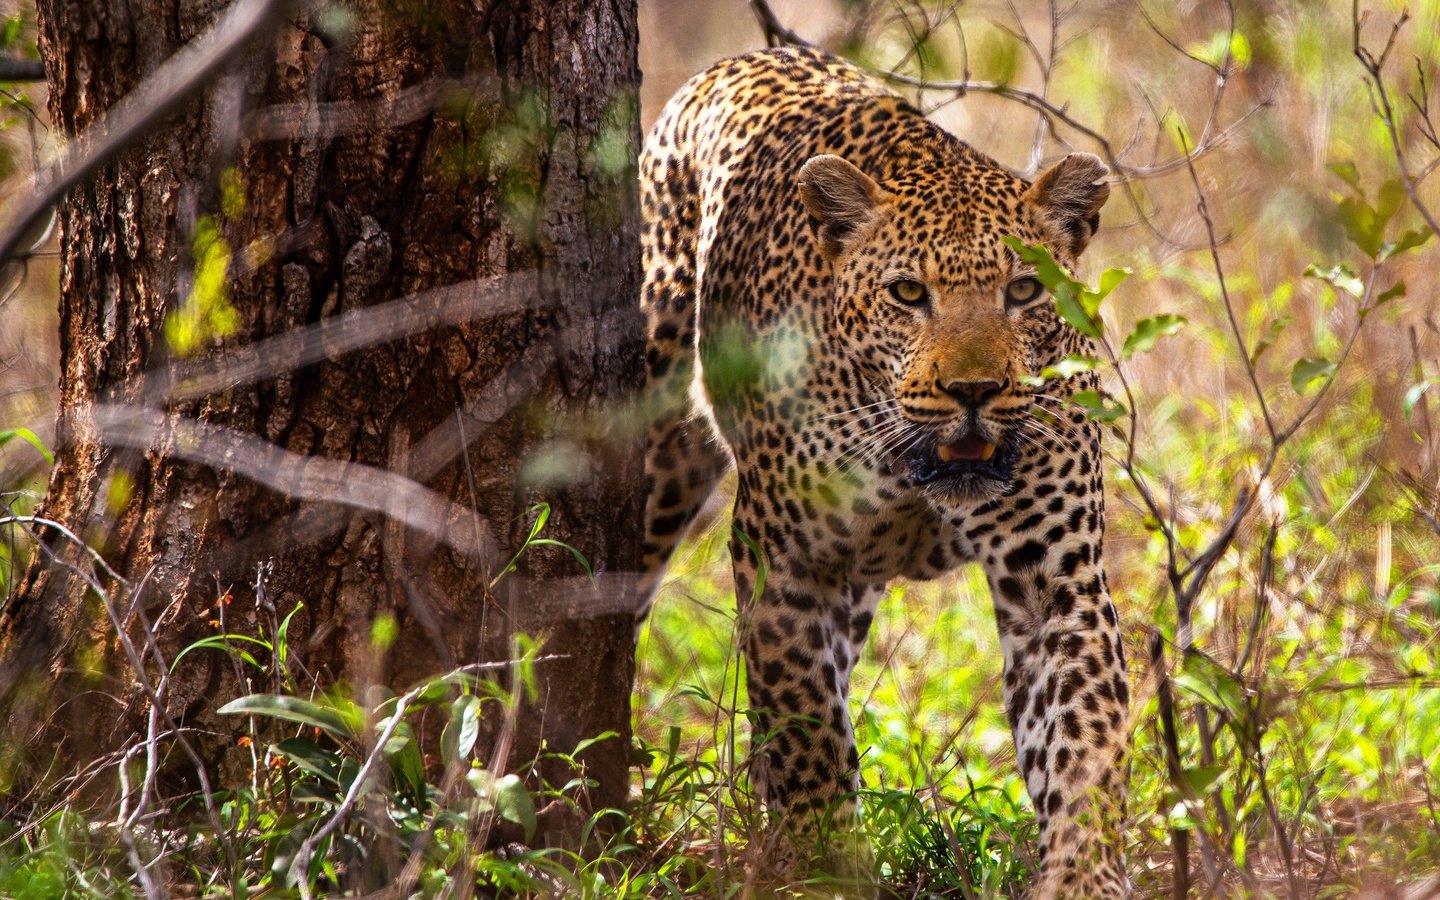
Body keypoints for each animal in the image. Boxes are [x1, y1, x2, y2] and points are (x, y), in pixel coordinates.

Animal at [636, 47, 1128, 898]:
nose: (974, 390)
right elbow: (809, 736)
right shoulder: (787, 565)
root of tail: (740, 60)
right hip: (661, 441)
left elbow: (1084, 740)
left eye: (1024, 290)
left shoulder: (1055, 583)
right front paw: (827, 865)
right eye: (907, 294)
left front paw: (1082, 879)